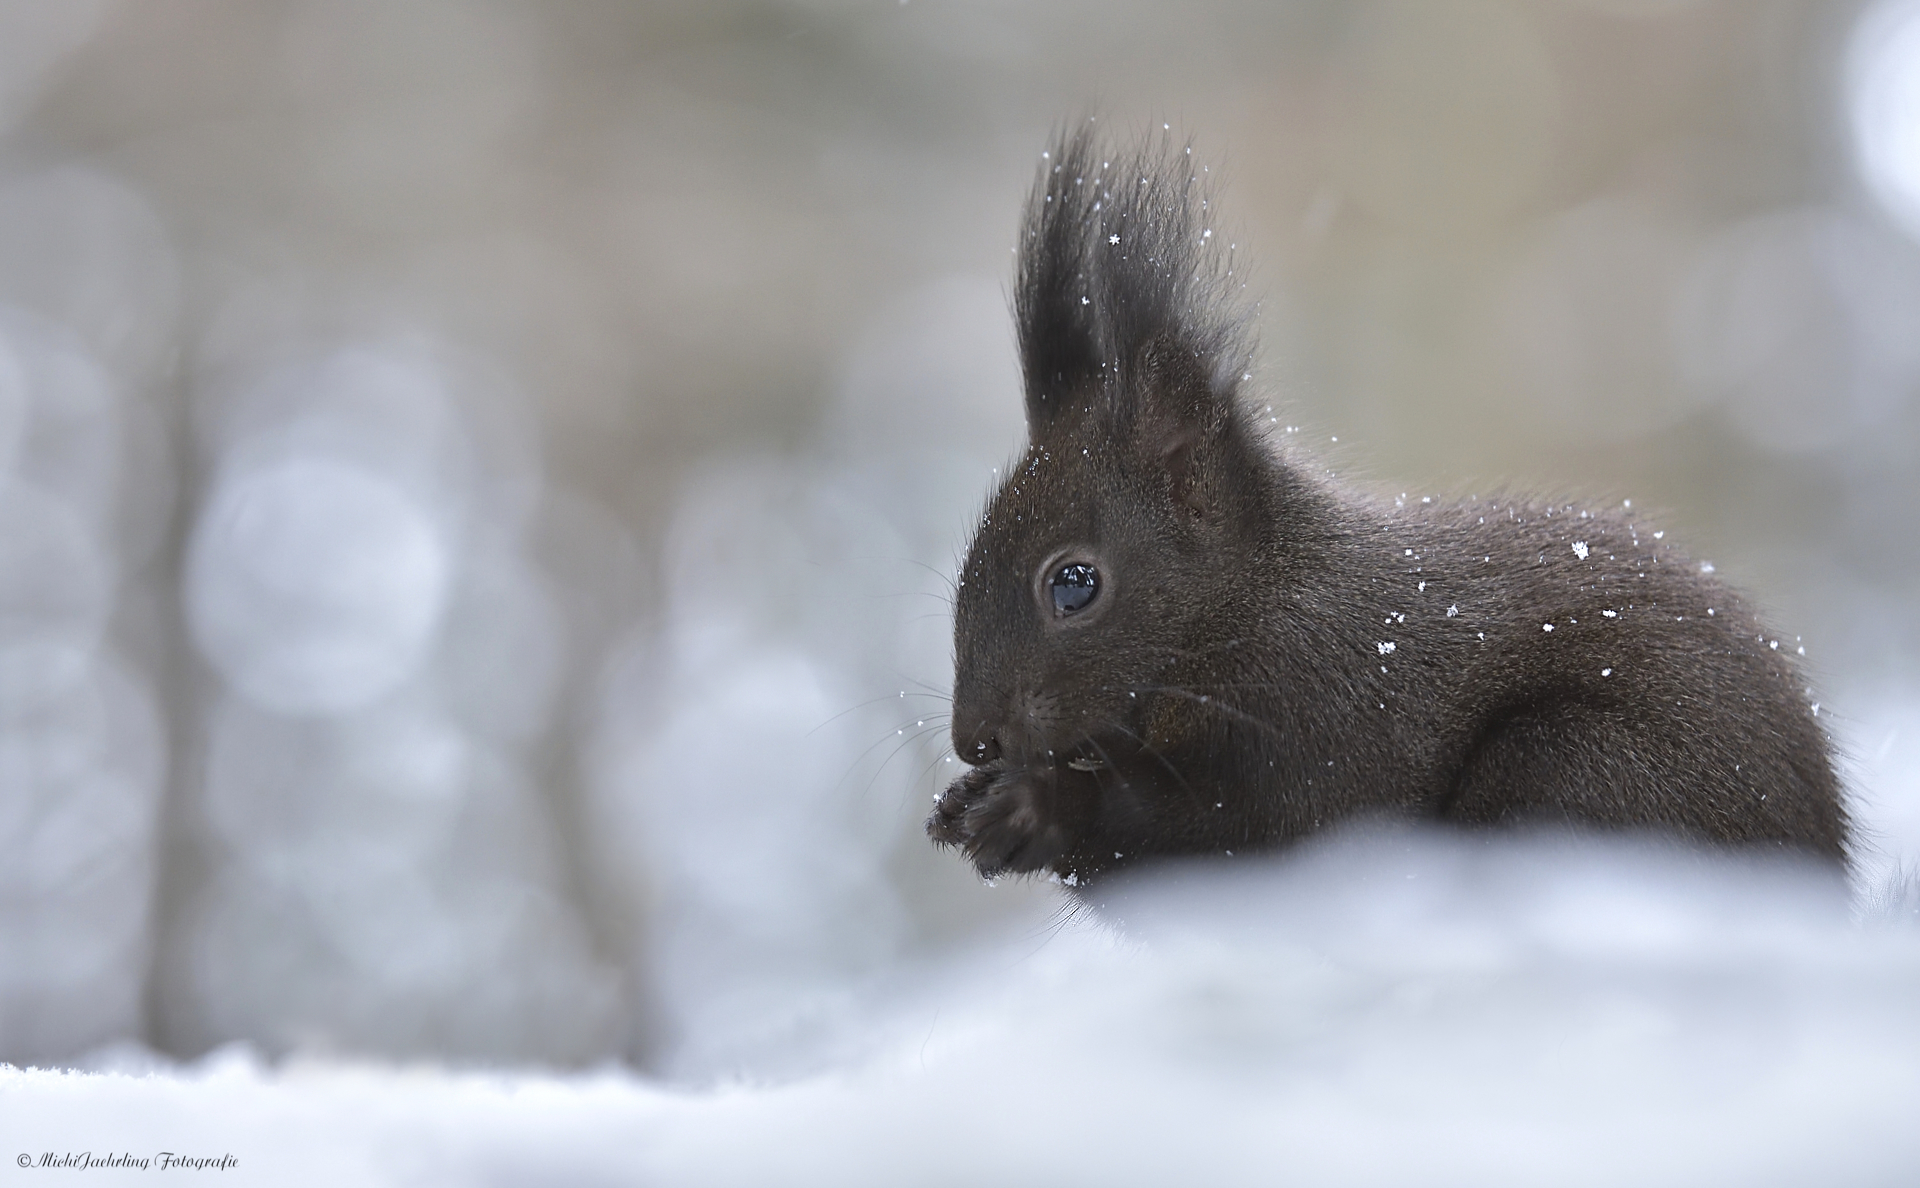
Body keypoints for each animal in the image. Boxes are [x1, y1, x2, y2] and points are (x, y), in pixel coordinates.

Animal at [921, 127, 1850, 890]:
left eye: (1073, 584)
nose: (976, 741)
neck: (1257, 603)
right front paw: (966, 802)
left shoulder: (1329, 717)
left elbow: (1238, 832)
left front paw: (1037, 809)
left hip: (1578, 769)